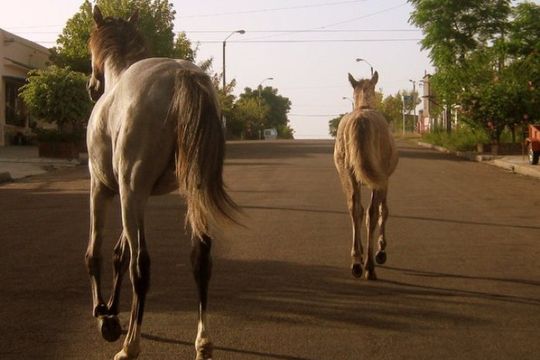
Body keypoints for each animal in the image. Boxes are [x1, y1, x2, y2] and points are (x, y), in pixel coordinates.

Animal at [85, 6, 237, 360]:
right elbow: (119, 252)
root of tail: (182, 75)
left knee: (141, 267)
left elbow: (96, 252)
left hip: (129, 192)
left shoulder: (105, 188)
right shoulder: (134, 195)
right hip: (187, 193)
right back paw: (202, 342)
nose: (91, 86)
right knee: (200, 258)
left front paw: (103, 315)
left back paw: (130, 346)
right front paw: (112, 312)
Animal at [336, 71, 398, 282]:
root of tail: (361, 120)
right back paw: (370, 266)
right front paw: (381, 251)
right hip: (378, 179)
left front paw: (361, 253)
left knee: (354, 208)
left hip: (348, 174)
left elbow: (359, 210)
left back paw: (357, 263)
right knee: (372, 213)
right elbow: (383, 211)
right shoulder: (385, 180)